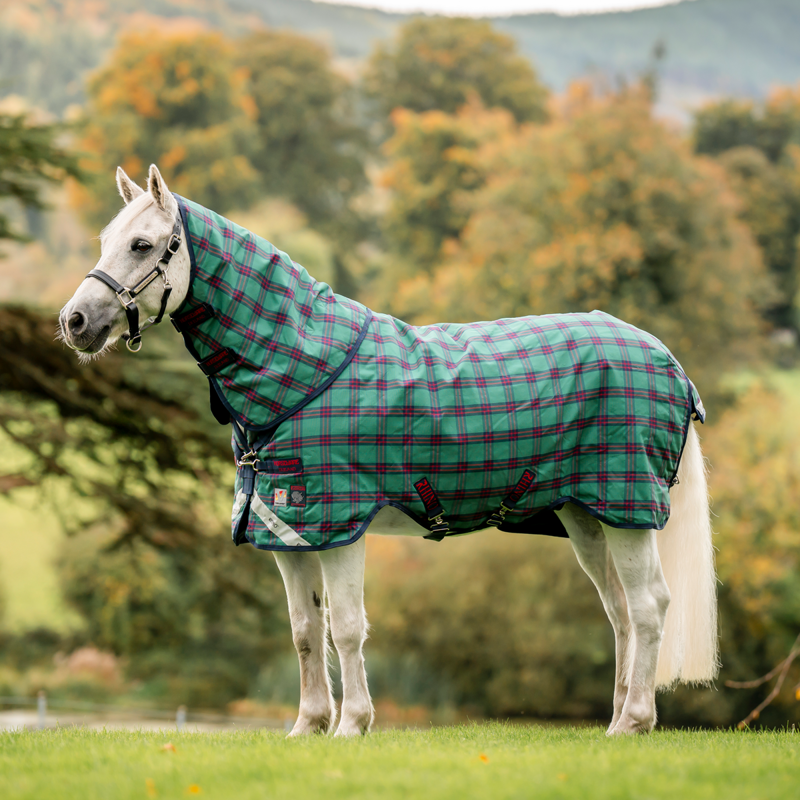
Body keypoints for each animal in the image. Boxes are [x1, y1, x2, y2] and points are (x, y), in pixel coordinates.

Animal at [59, 164, 719, 736]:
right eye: (105, 240)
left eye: (142, 245)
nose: (74, 321)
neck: (306, 372)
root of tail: (669, 361)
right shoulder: (288, 530)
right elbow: (306, 630)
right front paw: (307, 726)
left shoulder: (338, 526)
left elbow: (348, 628)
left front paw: (352, 725)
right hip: (587, 516)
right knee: (620, 612)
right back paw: (618, 719)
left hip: (627, 511)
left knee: (649, 607)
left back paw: (633, 722)